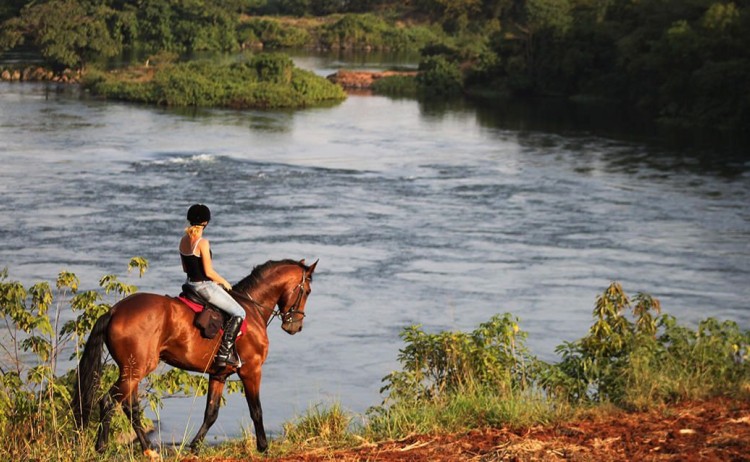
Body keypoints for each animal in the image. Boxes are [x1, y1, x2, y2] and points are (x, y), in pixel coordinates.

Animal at [72, 258, 318, 456]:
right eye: (306, 291)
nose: (295, 326)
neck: (251, 308)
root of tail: (114, 311)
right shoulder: (251, 370)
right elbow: (256, 410)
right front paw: (264, 448)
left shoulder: (219, 375)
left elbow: (211, 412)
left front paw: (195, 447)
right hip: (135, 370)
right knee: (109, 402)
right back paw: (101, 448)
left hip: (131, 370)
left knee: (129, 407)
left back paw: (148, 450)